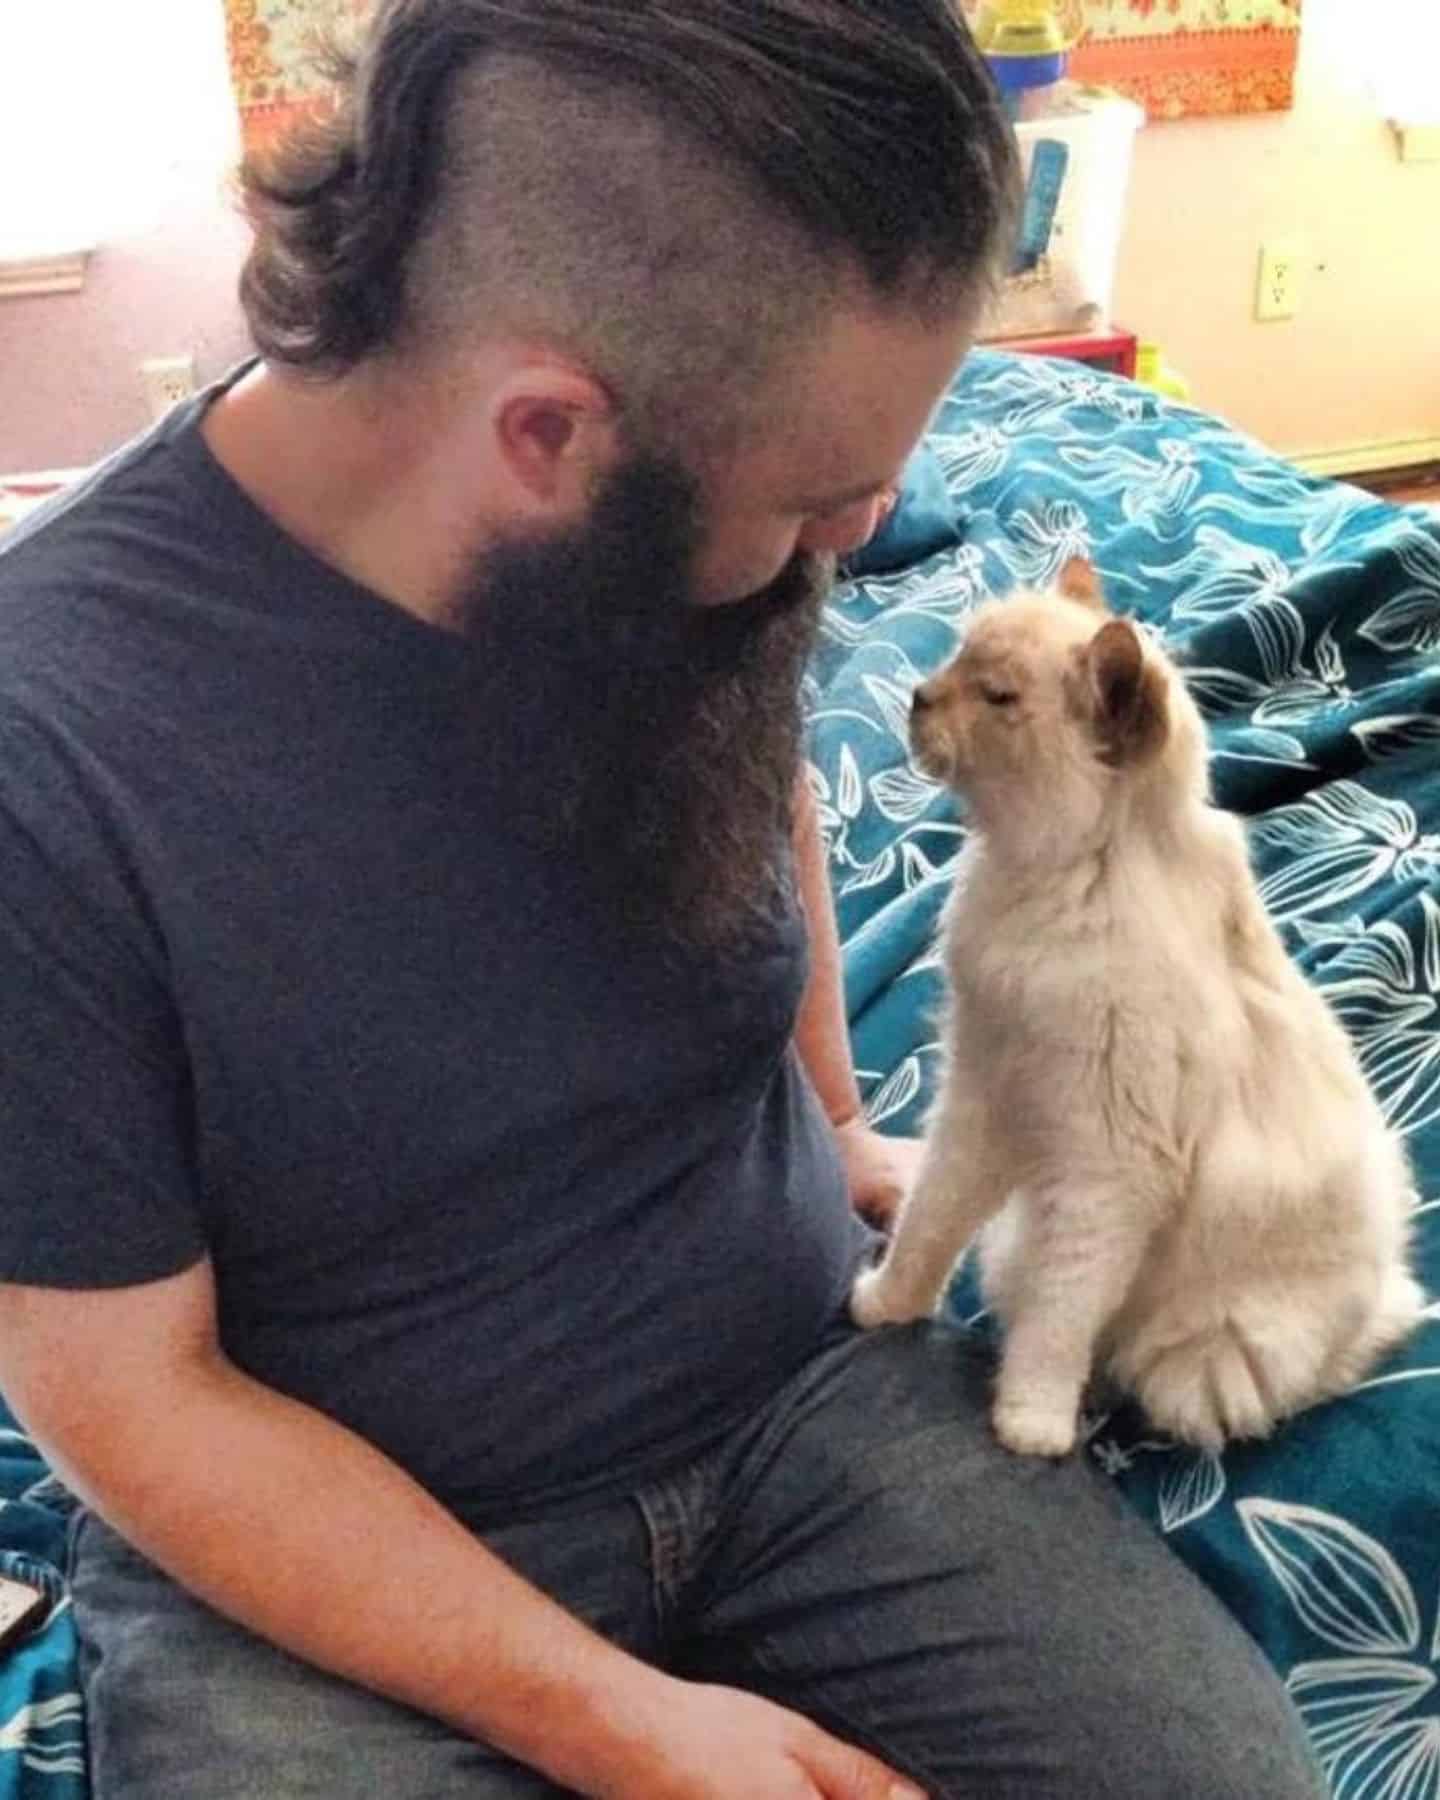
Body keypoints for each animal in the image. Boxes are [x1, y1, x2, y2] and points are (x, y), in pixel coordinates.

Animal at [849, 561, 1425, 1461]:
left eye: (997, 696)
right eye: (956, 661)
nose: (917, 695)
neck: (1057, 881)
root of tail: (1384, 1284)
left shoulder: (1107, 1171)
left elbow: (1059, 1321)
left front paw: (1031, 1428)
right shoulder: (983, 1096)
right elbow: (928, 1226)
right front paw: (884, 1305)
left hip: (1197, 1363)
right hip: (1017, 1238)